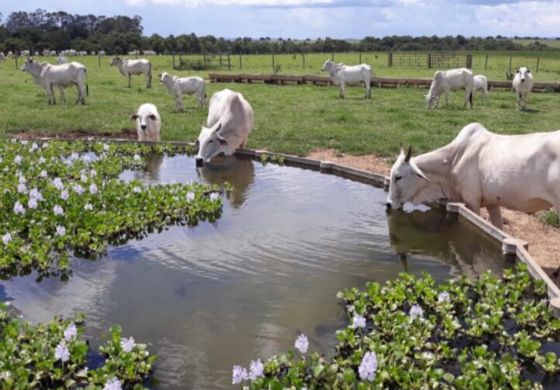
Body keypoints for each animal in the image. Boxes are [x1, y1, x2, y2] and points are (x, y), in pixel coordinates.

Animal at [388, 122, 560, 229]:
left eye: (398, 177)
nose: (388, 204)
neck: (453, 160)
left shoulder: (472, 201)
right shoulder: (492, 201)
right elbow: (498, 227)